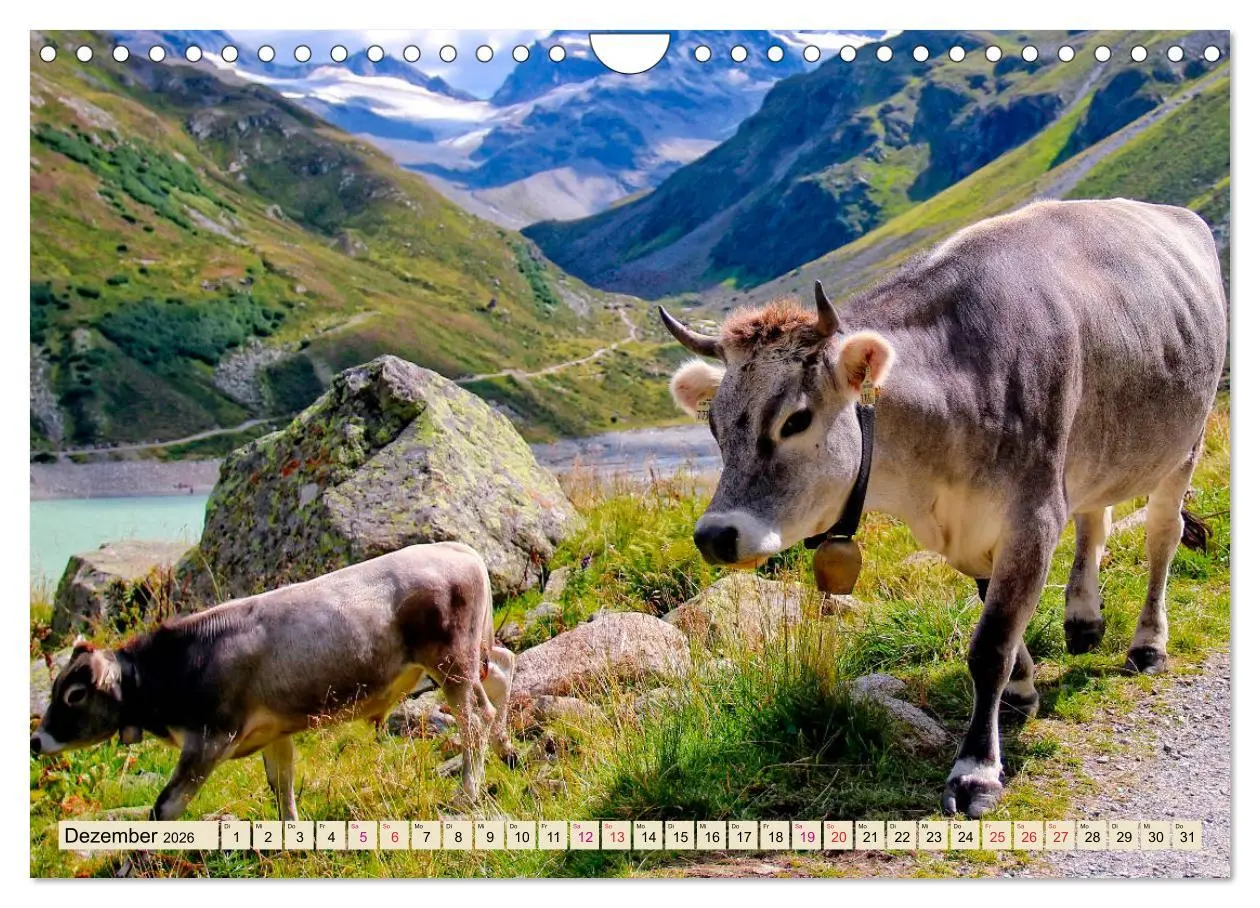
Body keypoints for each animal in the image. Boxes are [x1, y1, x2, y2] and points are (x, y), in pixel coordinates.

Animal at [30, 542, 517, 820]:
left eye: (74, 694)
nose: (36, 741)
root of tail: (457, 549)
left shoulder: (209, 738)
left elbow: (166, 806)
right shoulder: (274, 731)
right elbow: (281, 787)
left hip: (451, 661)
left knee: (475, 719)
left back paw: (468, 792)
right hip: (472, 654)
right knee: (502, 669)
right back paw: (507, 750)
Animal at [658, 199, 1227, 818]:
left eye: (796, 419)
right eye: (714, 427)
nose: (716, 535)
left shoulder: (1032, 516)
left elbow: (990, 645)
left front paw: (977, 771)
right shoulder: (974, 528)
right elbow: (997, 623)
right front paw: (1022, 693)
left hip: (1184, 445)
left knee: (1160, 537)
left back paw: (1147, 645)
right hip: (1093, 453)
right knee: (1093, 522)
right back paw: (1083, 621)